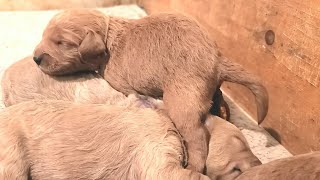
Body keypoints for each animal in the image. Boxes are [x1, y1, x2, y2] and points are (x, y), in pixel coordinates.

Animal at [32, 8, 268, 172]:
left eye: (62, 42)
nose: (36, 58)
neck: (109, 38)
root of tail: (216, 60)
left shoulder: (119, 82)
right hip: (208, 87)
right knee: (218, 100)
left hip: (182, 97)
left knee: (198, 135)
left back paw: (194, 165)